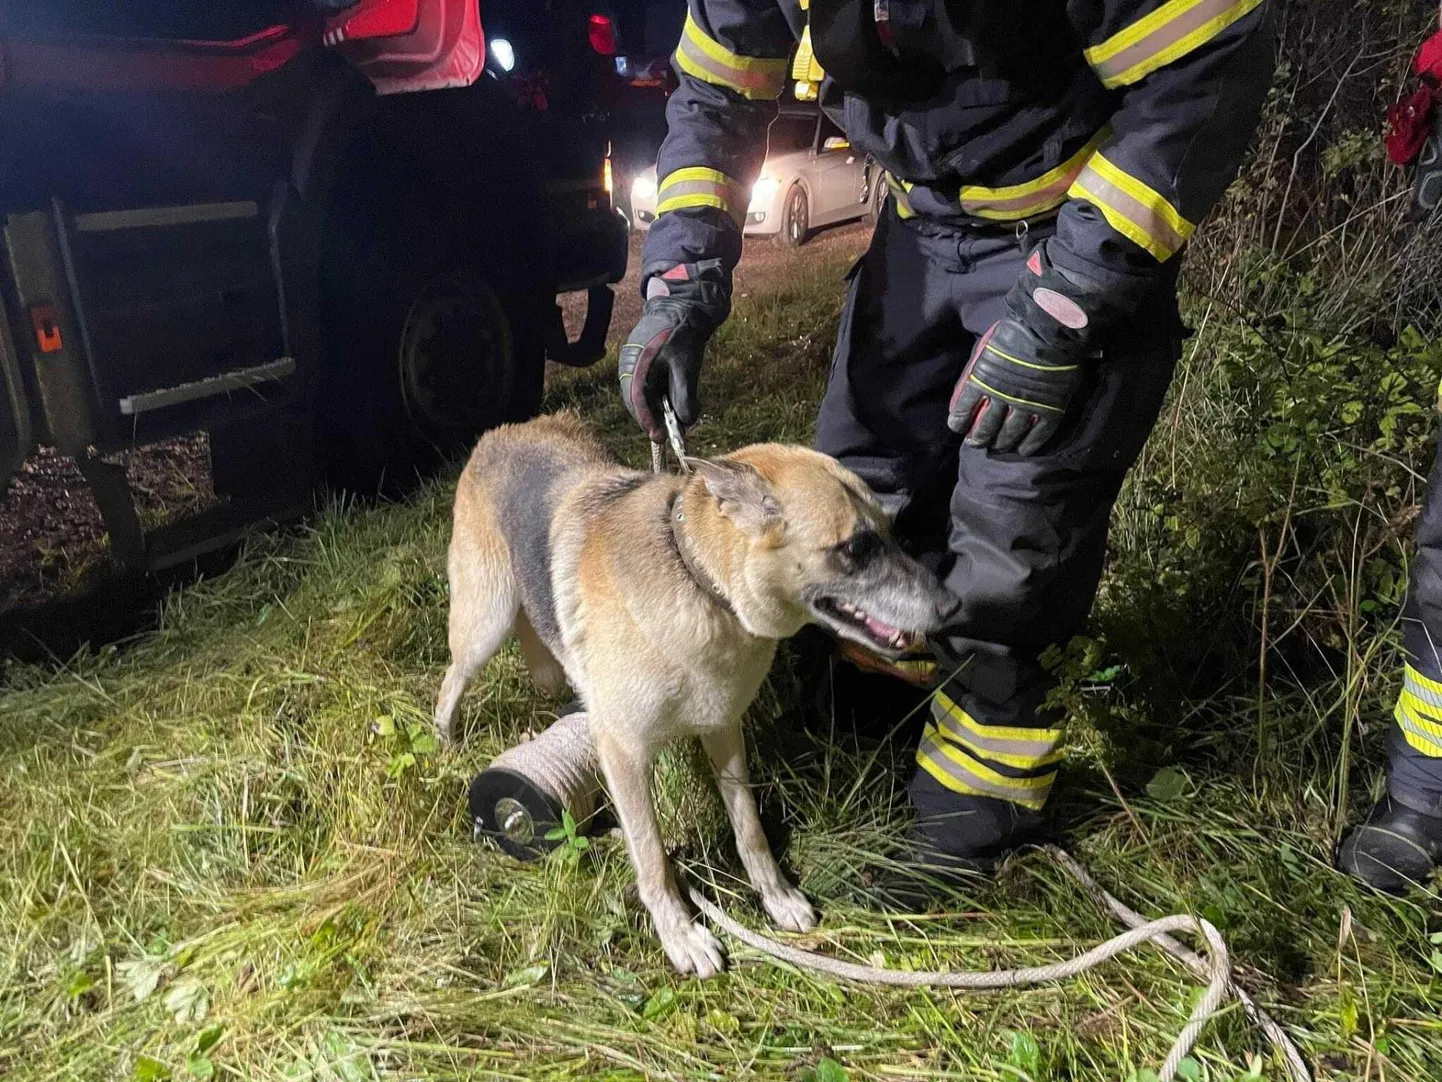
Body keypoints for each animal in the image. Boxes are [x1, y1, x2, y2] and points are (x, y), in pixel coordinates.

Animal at [438, 412, 957, 975]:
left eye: (892, 533)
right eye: (857, 547)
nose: (954, 606)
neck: (701, 583)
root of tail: (507, 429)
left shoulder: (724, 731)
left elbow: (749, 830)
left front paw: (775, 897)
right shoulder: (622, 755)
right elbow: (652, 858)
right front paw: (680, 934)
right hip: (483, 625)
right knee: (449, 683)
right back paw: (445, 744)